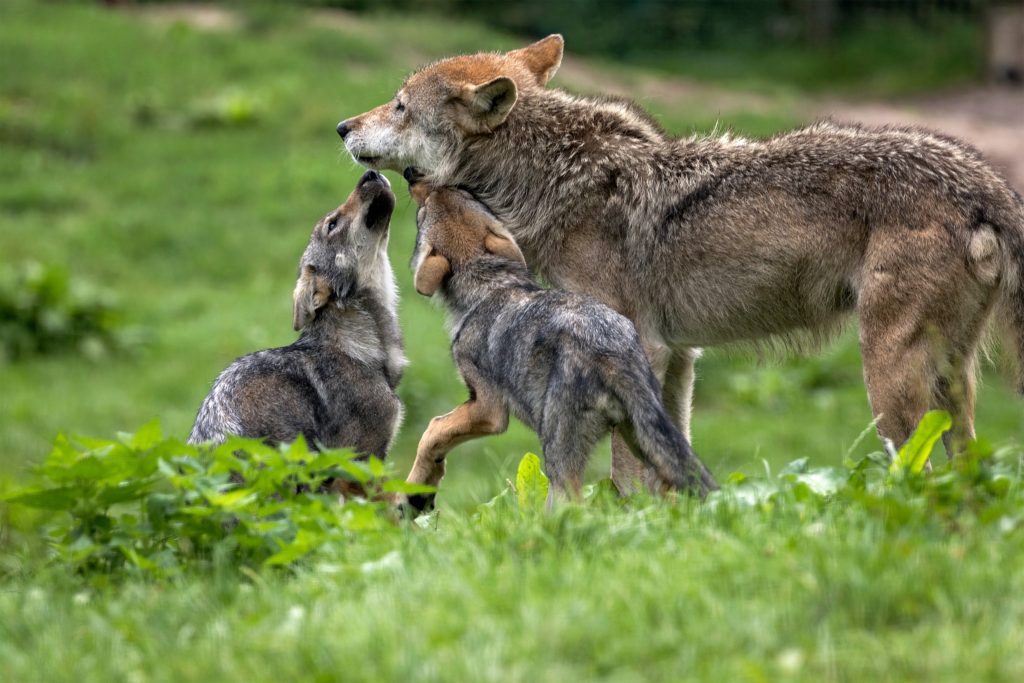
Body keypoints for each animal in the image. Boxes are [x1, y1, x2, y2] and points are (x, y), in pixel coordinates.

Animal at [401, 169, 718, 509]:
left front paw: (414, 489)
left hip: (558, 457)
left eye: (422, 212)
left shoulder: (488, 409)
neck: (490, 285)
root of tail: (613, 353)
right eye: (463, 192)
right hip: (645, 441)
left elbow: (432, 430)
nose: (412, 174)